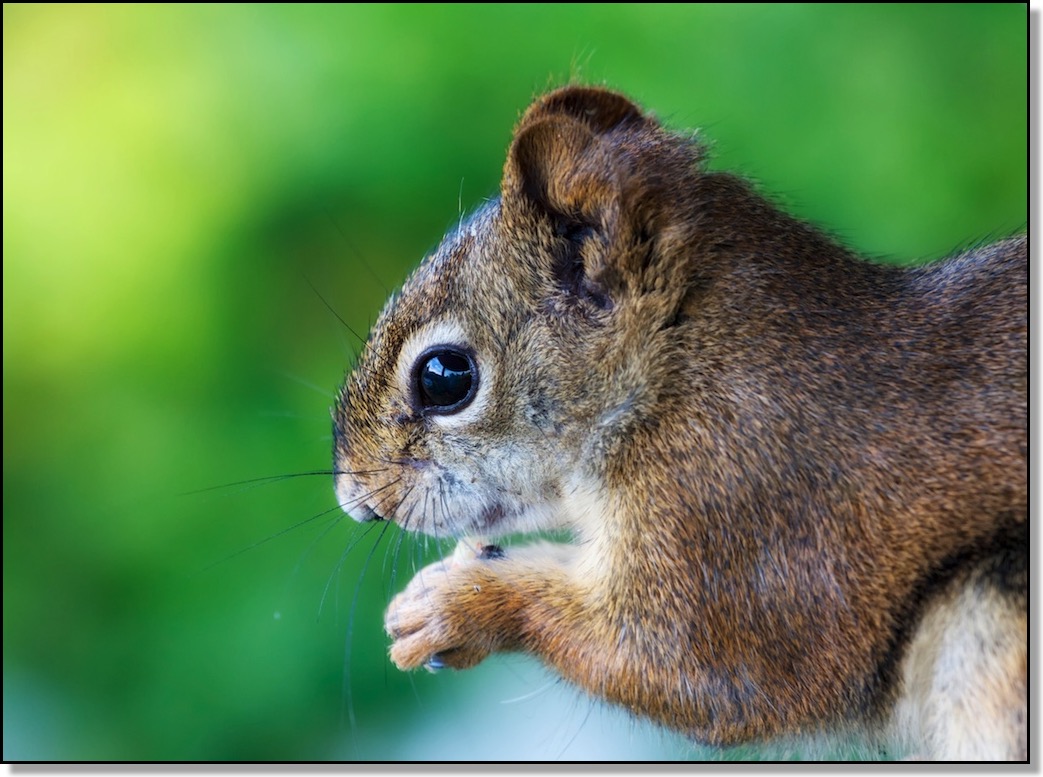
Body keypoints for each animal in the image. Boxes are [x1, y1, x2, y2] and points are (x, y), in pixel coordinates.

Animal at [332, 86, 1026, 760]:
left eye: (444, 377)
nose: (353, 499)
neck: (676, 374)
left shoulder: (736, 516)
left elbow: (692, 668)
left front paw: (457, 604)